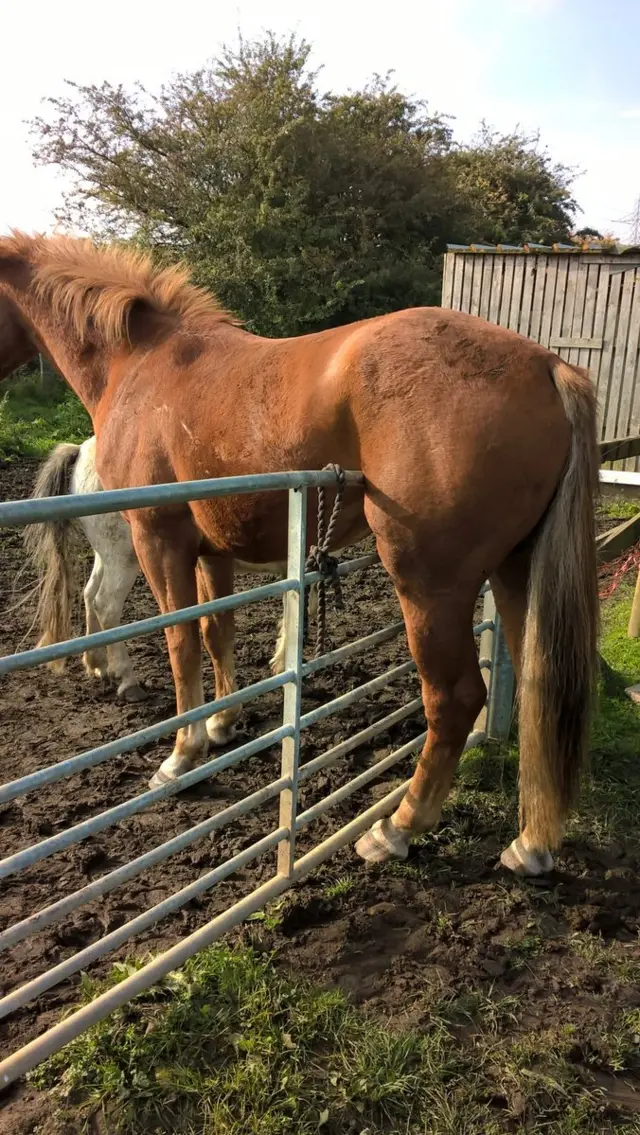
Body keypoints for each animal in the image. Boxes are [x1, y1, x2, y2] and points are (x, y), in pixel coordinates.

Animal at [22, 433, 306, 699]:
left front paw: (282, 660)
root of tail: (82, 450)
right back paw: (128, 681)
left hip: (107, 554)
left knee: (89, 594)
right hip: (125, 556)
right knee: (106, 604)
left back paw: (98, 664)